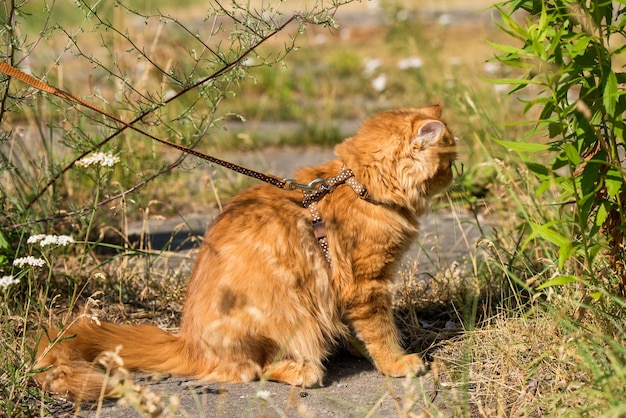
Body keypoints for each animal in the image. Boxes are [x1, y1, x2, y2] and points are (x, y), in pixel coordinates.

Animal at [34, 104, 456, 398]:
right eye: (449, 162)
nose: (458, 174)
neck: (360, 187)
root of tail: (187, 342)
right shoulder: (367, 283)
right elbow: (380, 330)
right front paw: (396, 362)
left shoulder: (345, 289)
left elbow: (359, 327)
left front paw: (358, 347)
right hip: (287, 315)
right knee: (259, 369)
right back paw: (304, 371)